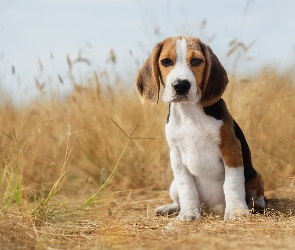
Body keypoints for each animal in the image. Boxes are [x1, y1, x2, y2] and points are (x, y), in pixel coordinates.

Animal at [136, 35, 266, 221]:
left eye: (196, 61)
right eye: (166, 61)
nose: (181, 85)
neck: (189, 112)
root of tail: (212, 208)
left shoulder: (231, 147)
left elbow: (232, 183)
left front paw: (236, 211)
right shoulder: (176, 155)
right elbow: (186, 187)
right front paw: (189, 213)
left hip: (256, 176)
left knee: (258, 194)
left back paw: (258, 205)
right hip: (173, 185)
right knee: (179, 198)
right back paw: (170, 208)